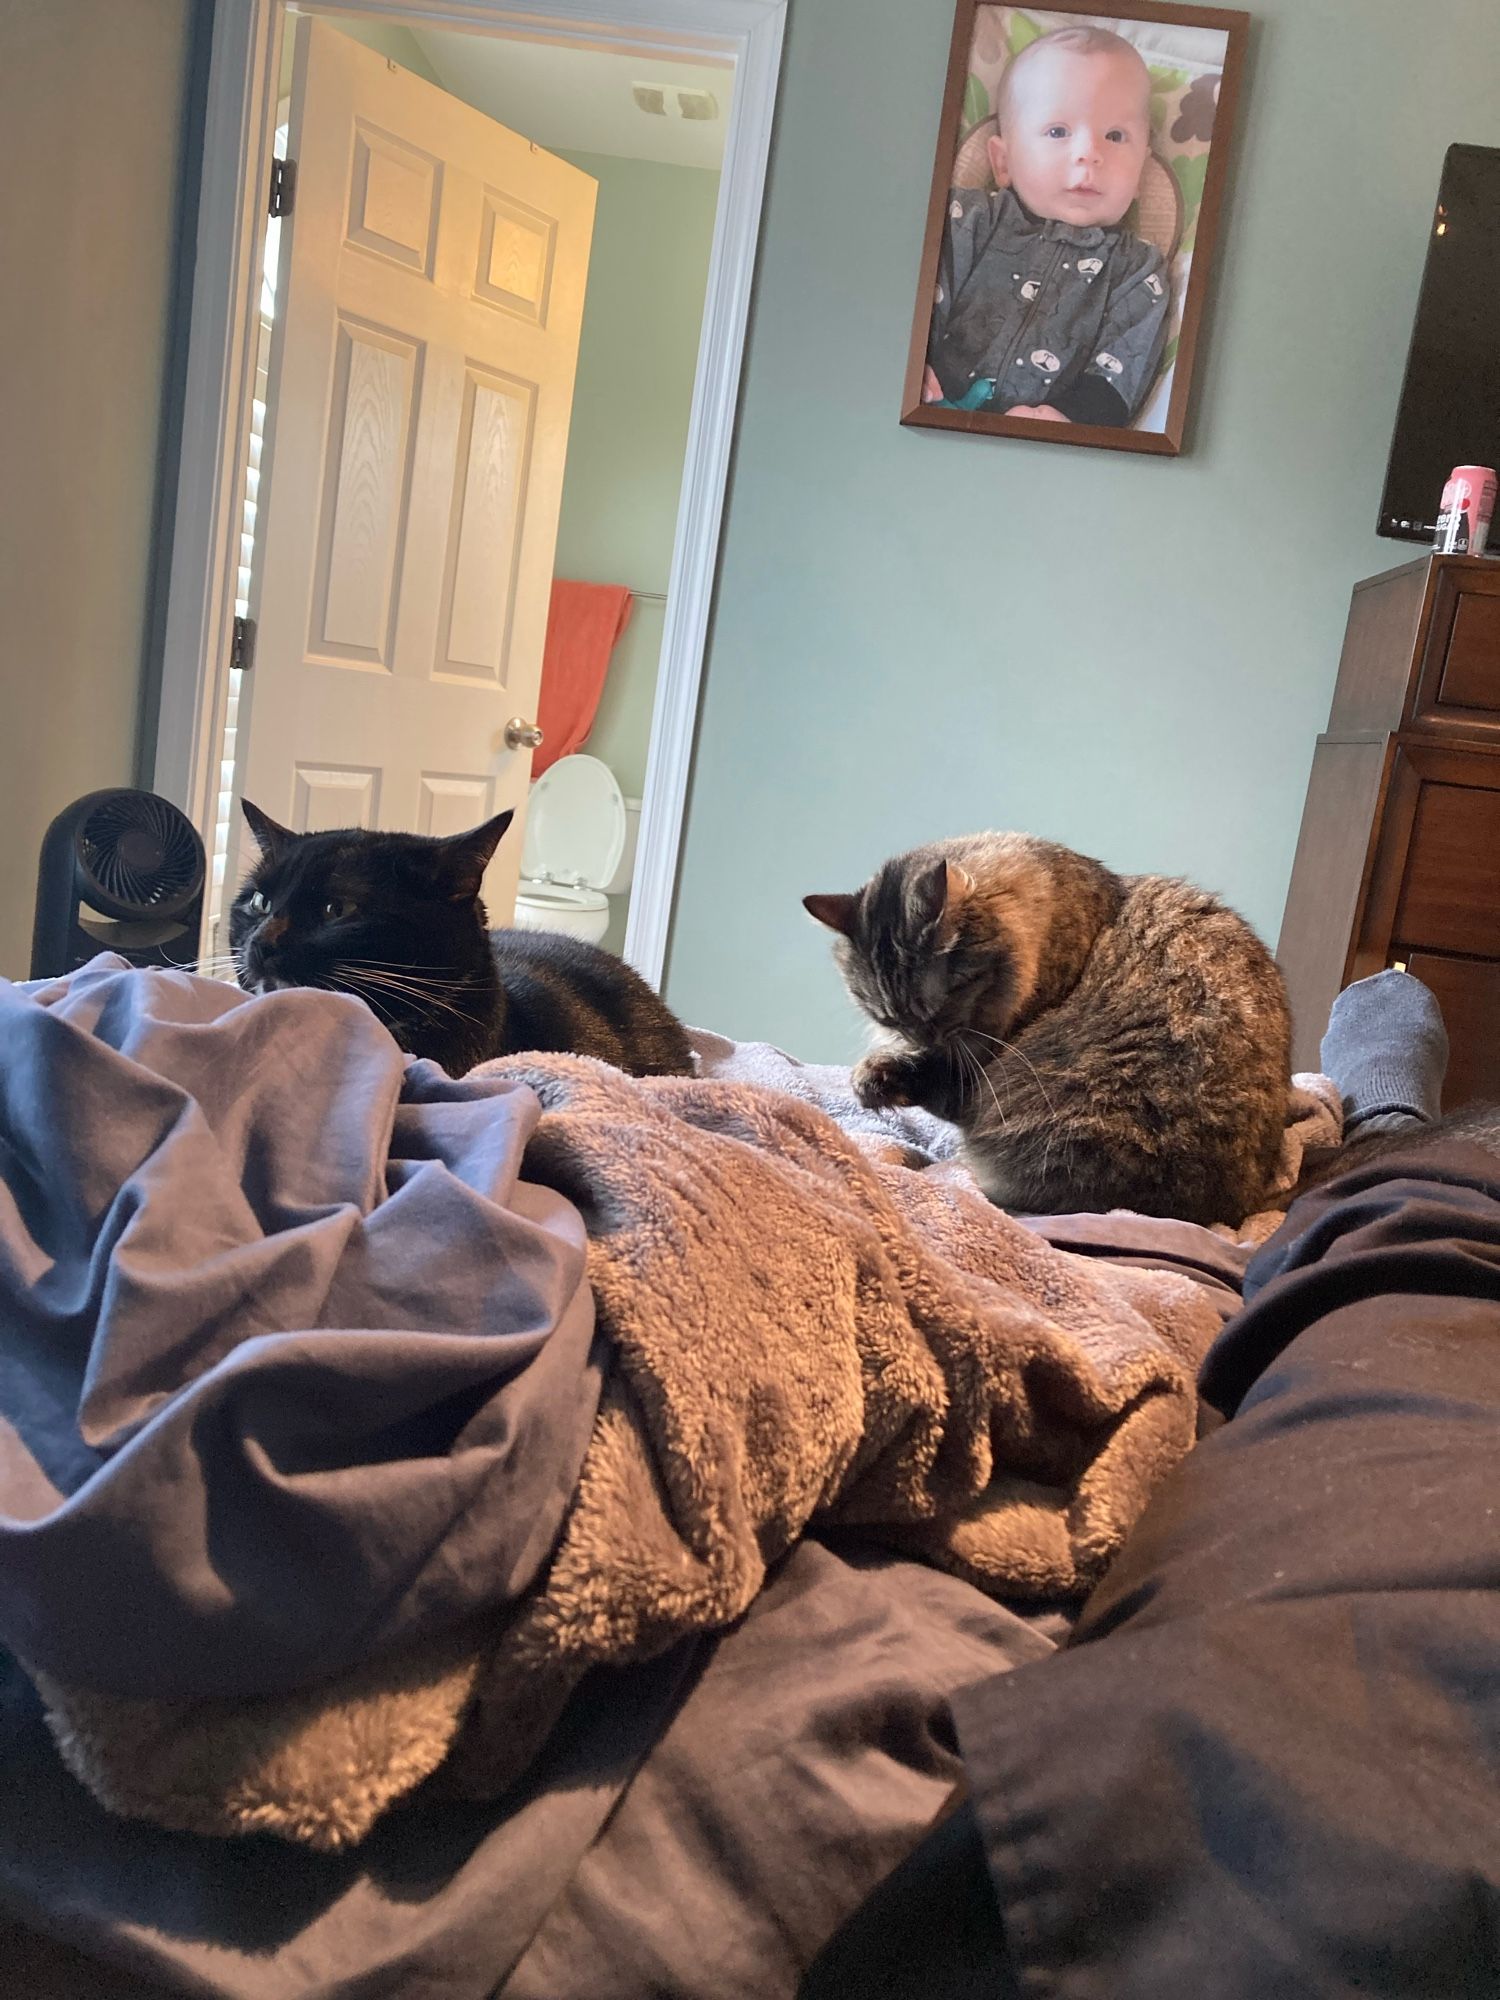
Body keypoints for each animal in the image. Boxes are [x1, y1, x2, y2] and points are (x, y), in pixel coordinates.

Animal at [812, 828, 1296, 1216]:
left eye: (937, 1006)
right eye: (887, 1015)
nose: (921, 1036)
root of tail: (1225, 1206)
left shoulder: (974, 1076)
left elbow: (931, 1079)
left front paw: (872, 1077)